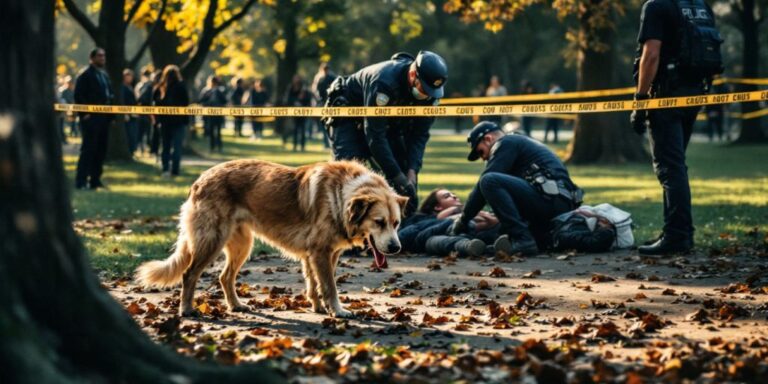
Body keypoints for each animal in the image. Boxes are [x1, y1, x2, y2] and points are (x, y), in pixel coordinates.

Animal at [136, 159, 408, 318]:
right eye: (379, 222)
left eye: (396, 223)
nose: (396, 248)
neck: (341, 194)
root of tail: (200, 179)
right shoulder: (320, 253)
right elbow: (329, 286)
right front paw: (337, 310)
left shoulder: (321, 254)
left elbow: (315, 284)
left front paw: (319, 308)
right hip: (212, 241)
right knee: (189, 274)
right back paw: (186, 309)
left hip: (242, 245)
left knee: (224, 277)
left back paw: (236, 306)